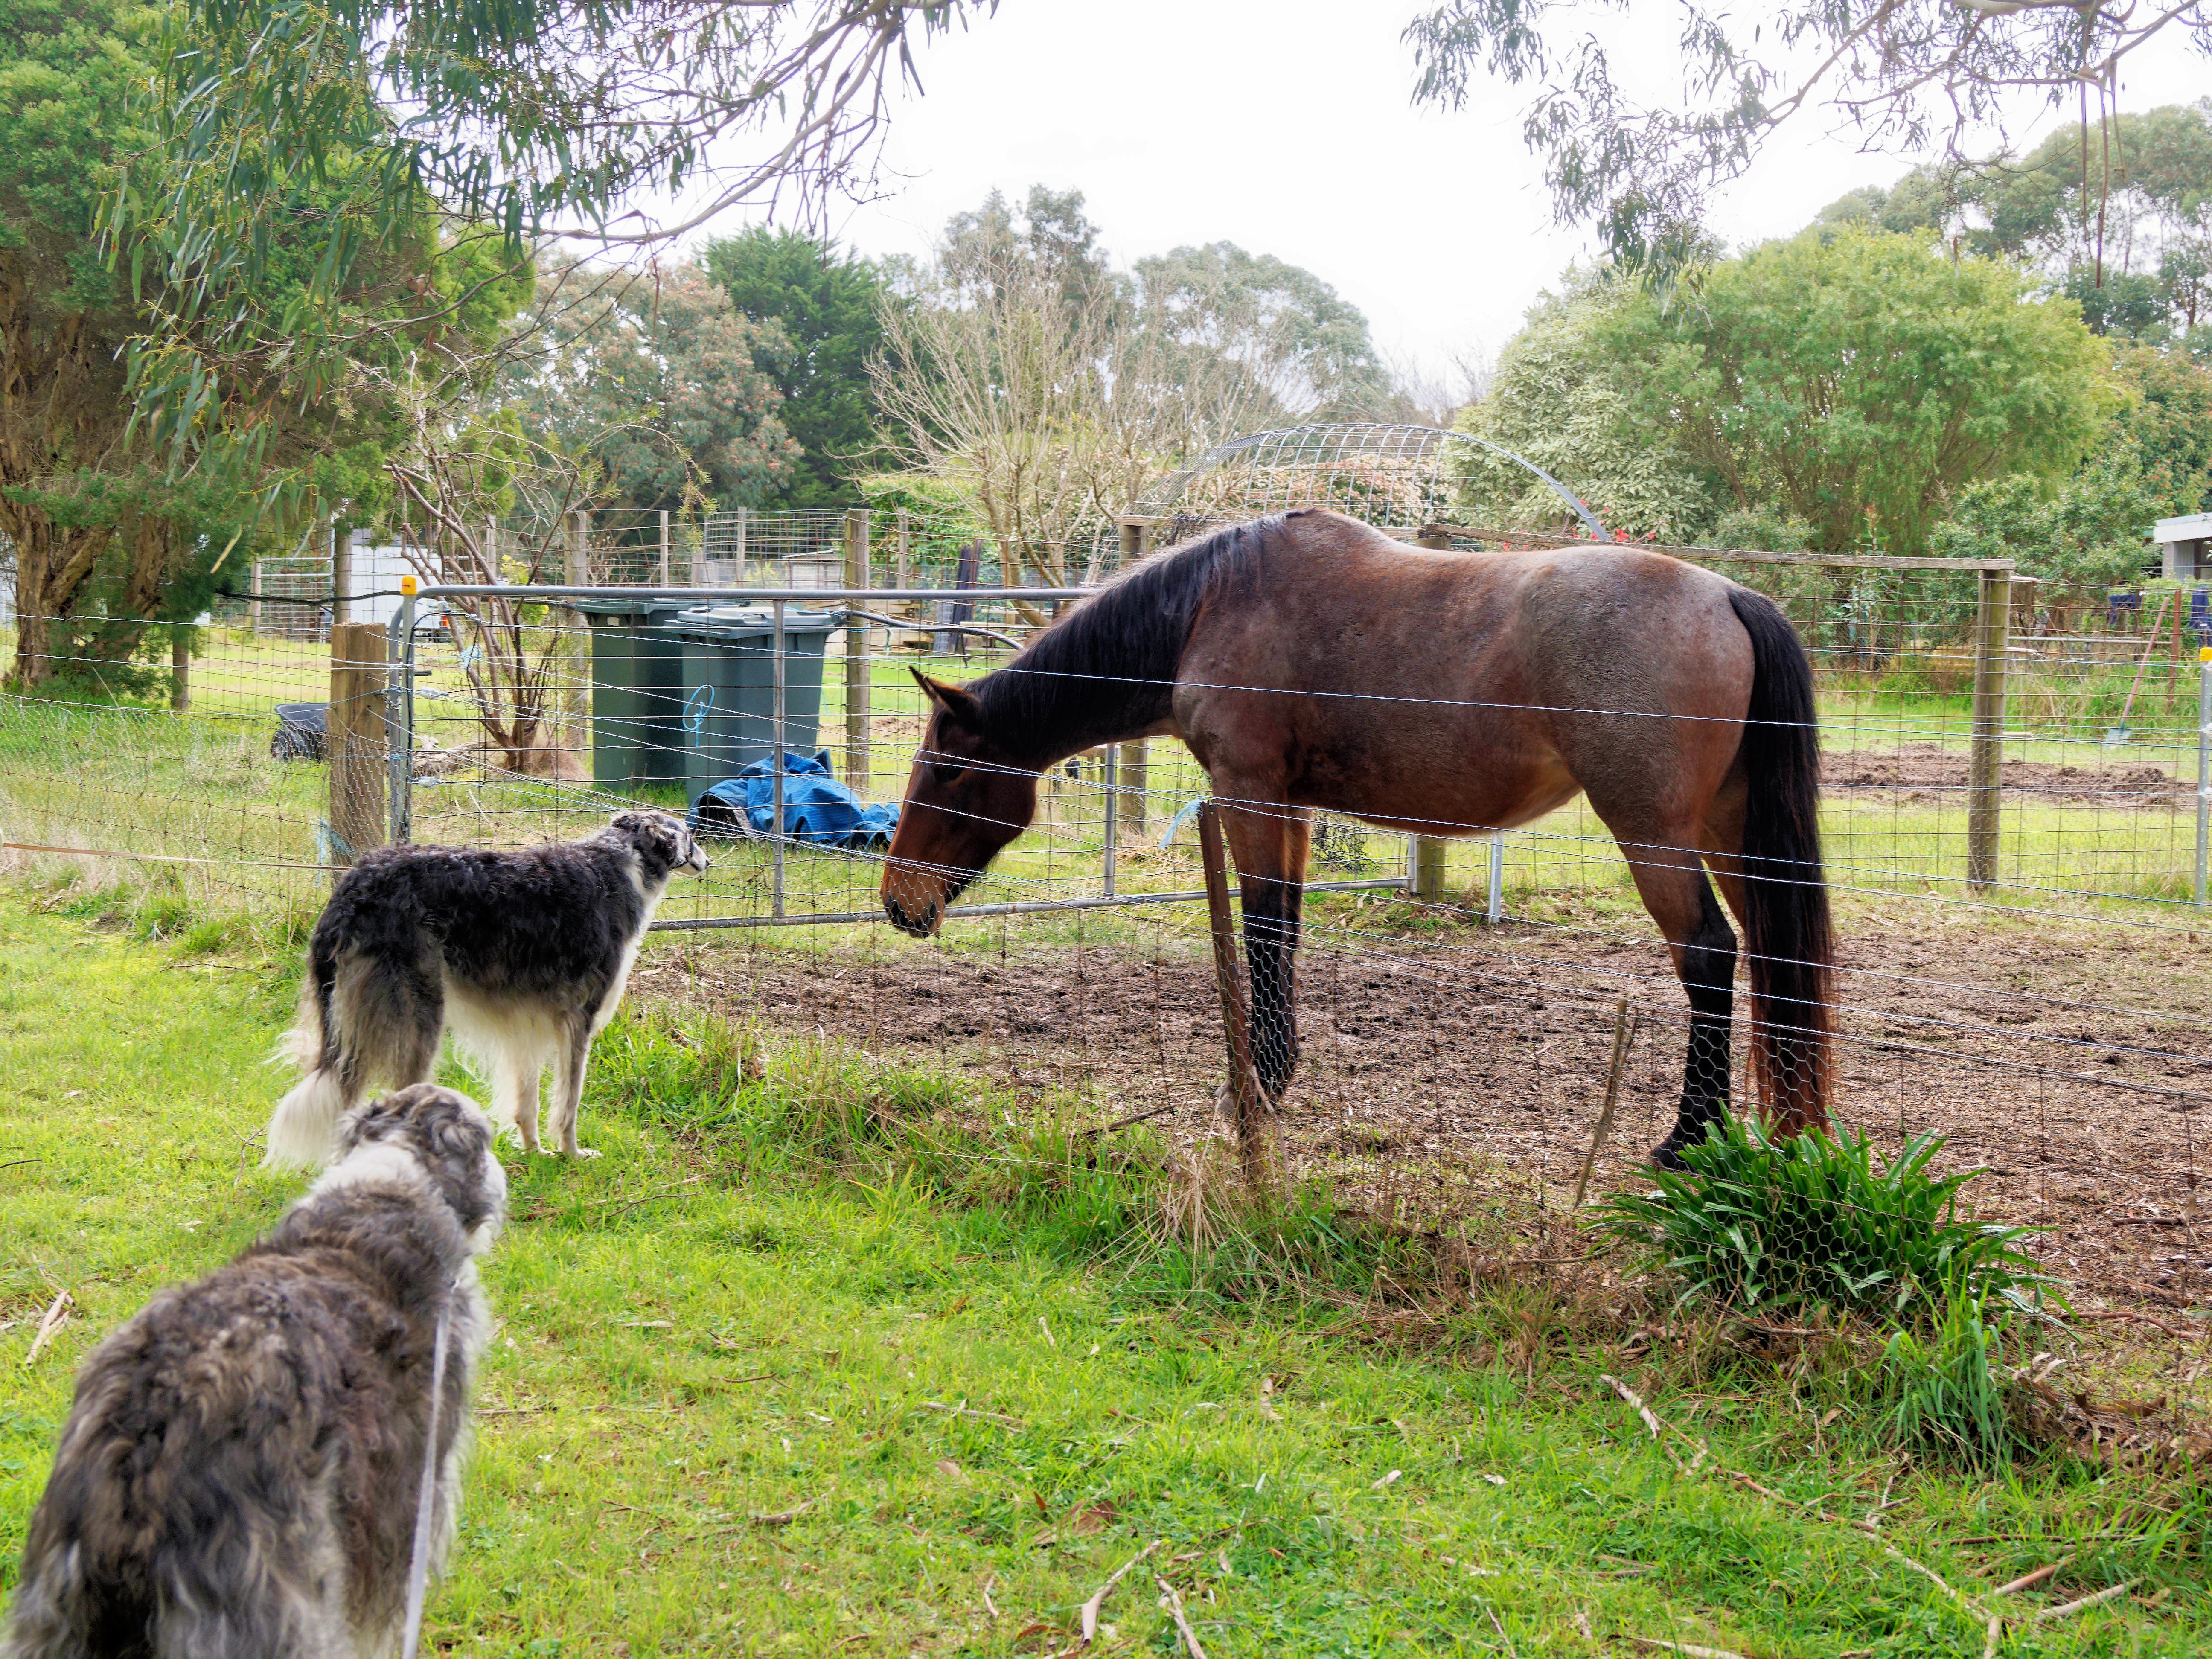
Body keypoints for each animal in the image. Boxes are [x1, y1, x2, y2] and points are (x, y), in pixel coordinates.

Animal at [880, 509, 1834, 1167]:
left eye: (950, 773)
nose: (896, 902)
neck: (1210, 604)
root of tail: (1730, 596)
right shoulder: (1291, 808)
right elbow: (1287, 926)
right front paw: (1273, 1077)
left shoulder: (1250, 793)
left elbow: (1264, 927)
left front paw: (1253, 1089)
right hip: (1729, 832)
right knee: (1771, 959)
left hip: (1655, 835)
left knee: (1708, 955)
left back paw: (1686, 1140)